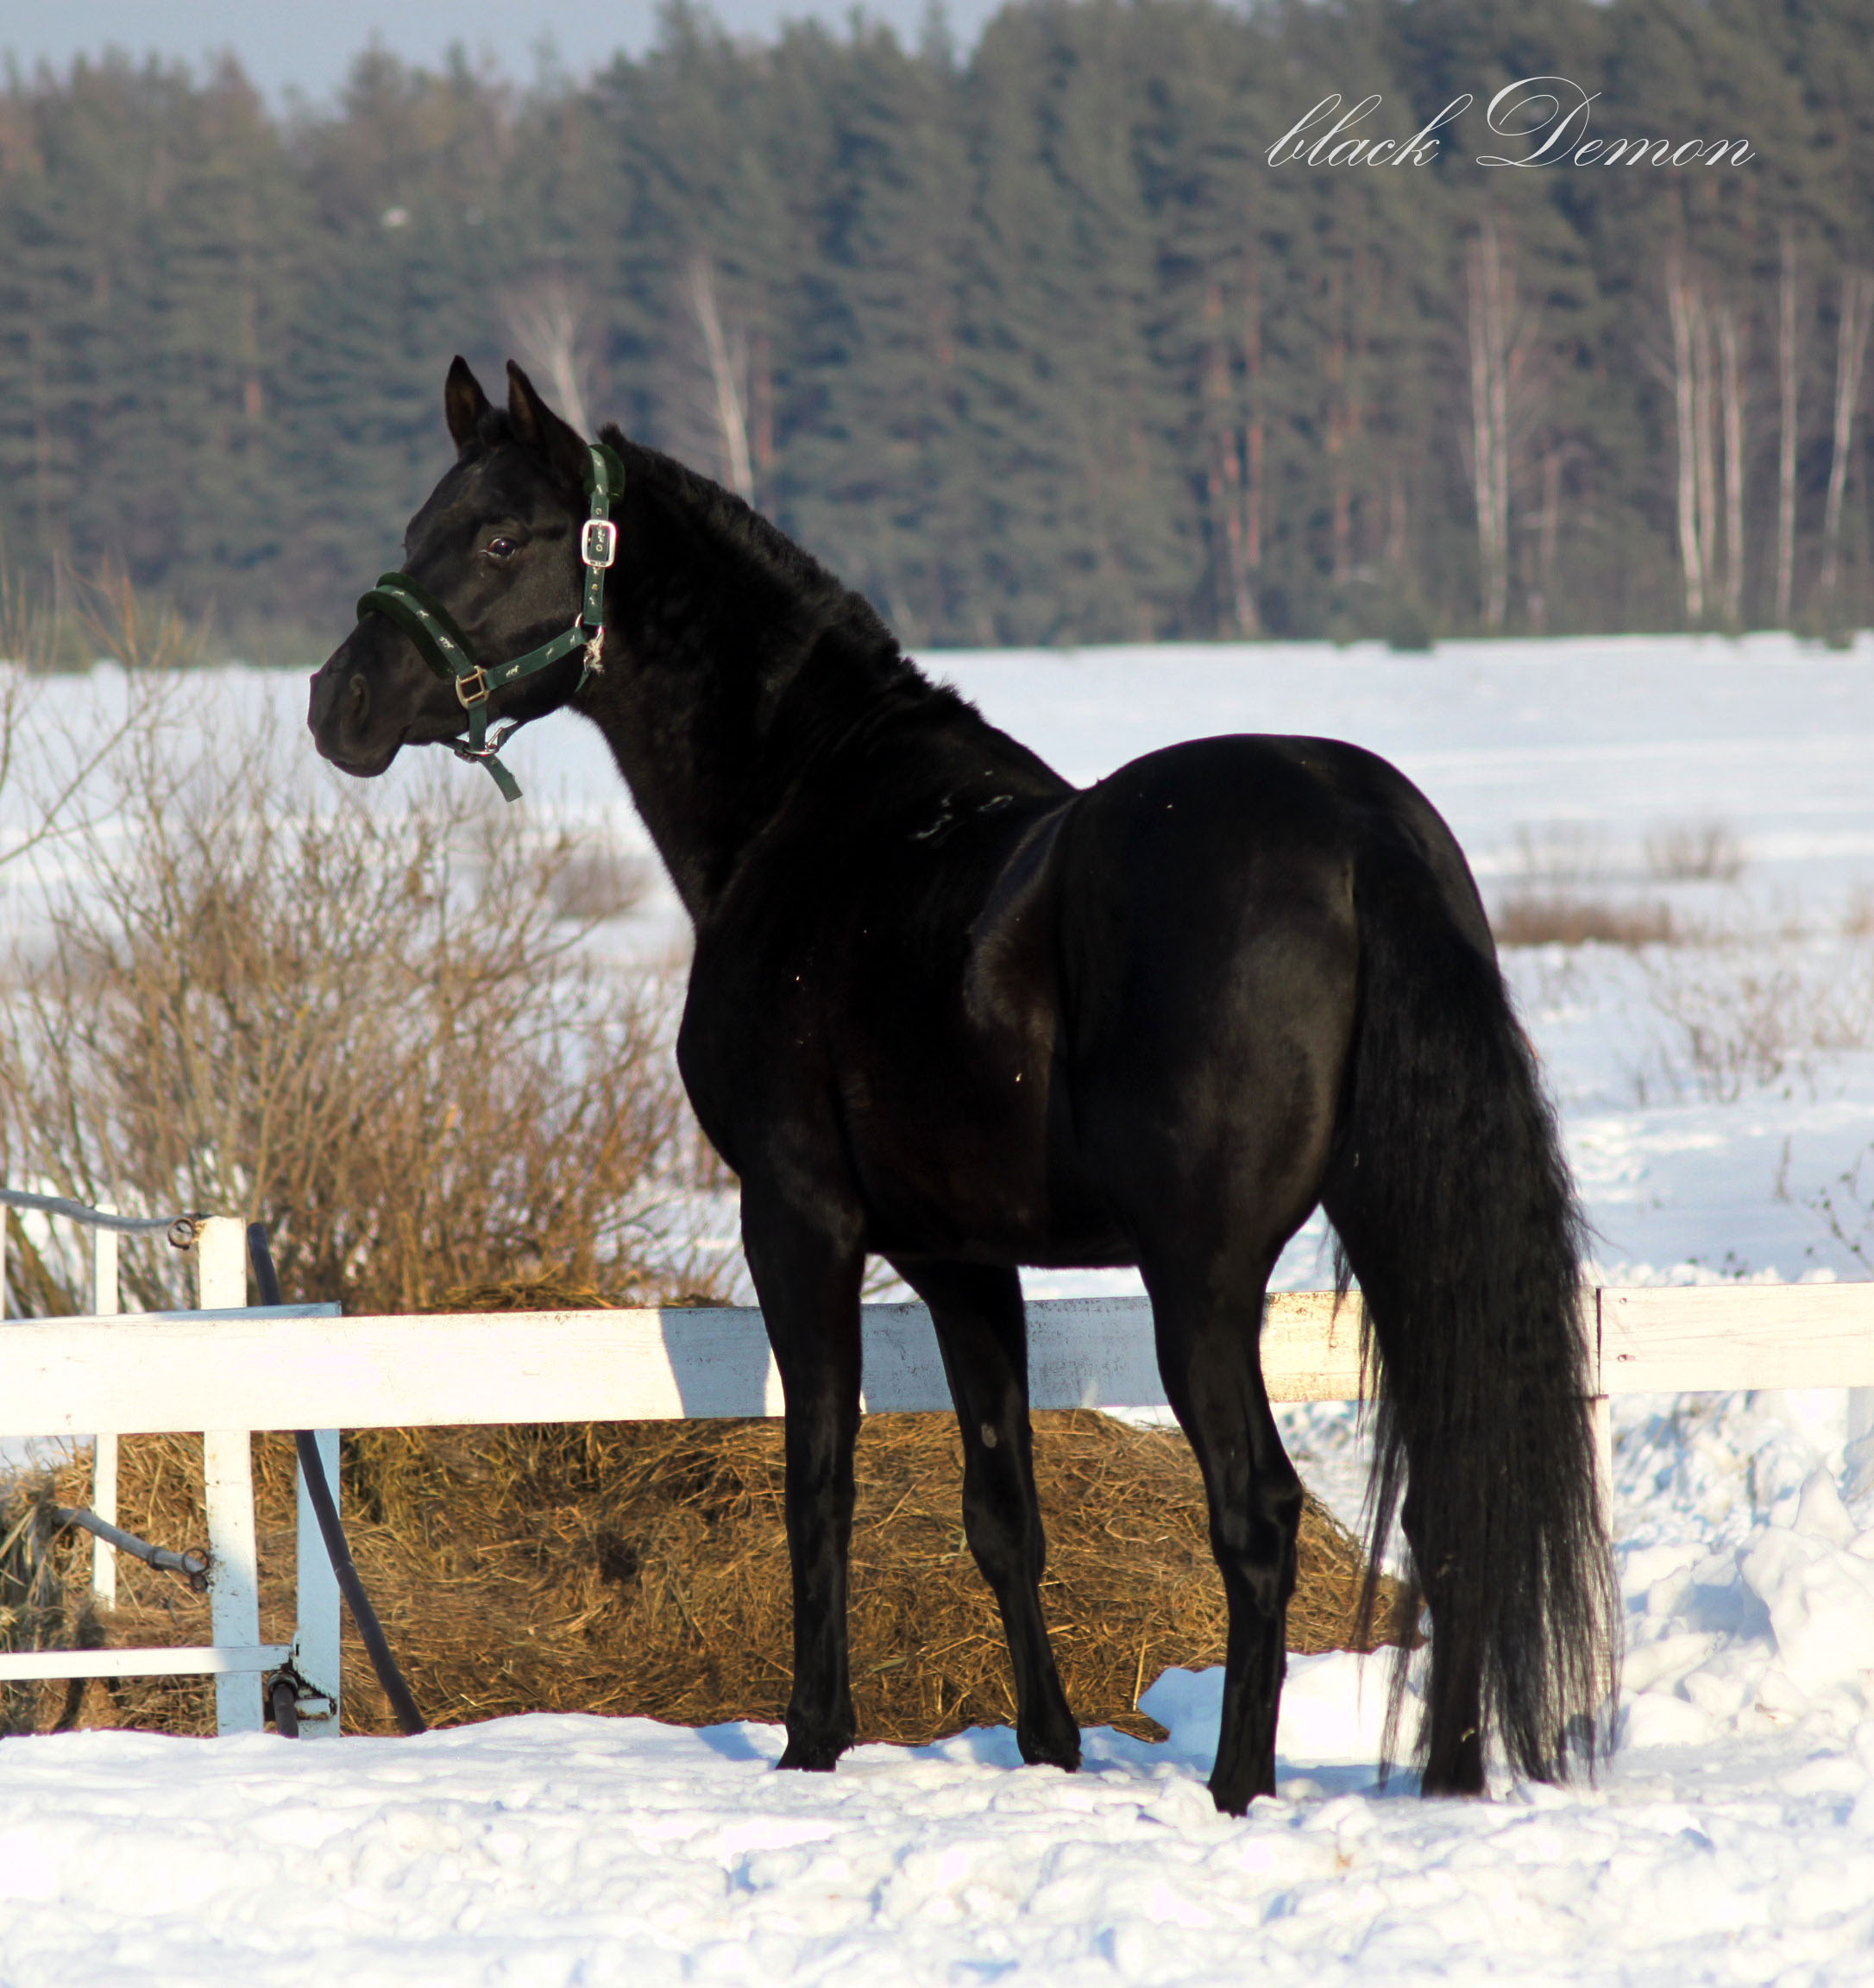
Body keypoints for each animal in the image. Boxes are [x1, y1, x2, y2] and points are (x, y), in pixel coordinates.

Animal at [309, 357, 1615, 1813]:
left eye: (496, 539)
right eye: (421, 523)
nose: (337, 705)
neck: (810, 813)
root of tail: (1353, 829)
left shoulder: (799, 1218)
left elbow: (819, 1482)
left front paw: (811, 1742)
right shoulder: (961, 1258)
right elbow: (1002, 1516)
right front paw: (1048, 1751)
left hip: (1202, 1277)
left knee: (1259, 1511)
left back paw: (1239, 1789)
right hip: (1386, 1226)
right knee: (1455, 1495)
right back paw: (1447, 1782)